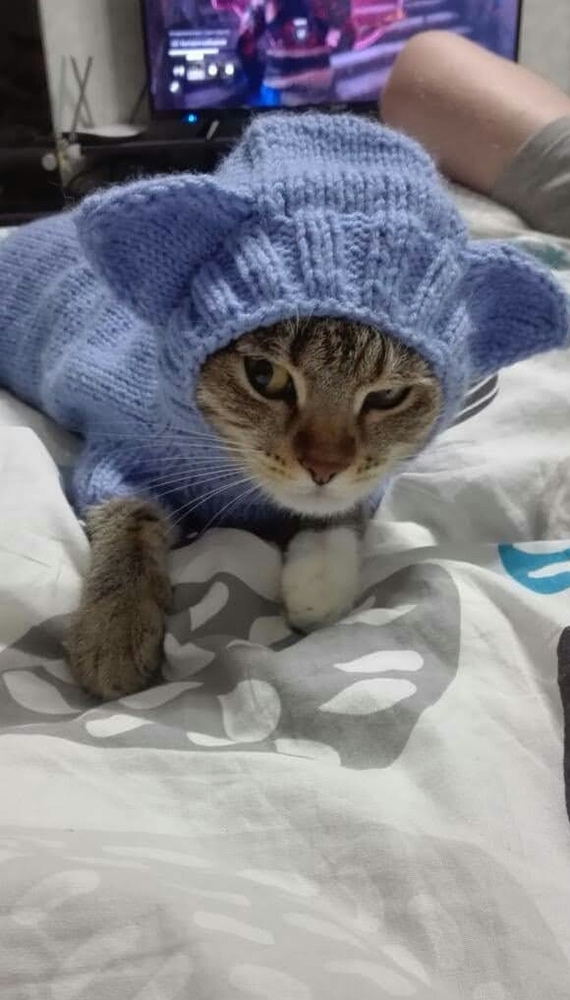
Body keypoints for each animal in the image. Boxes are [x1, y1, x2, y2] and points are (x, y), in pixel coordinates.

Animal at [65, 317, 440, 699]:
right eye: (264, 374)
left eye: (387, 395)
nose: (323, 467)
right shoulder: (118, 453)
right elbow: (129, 516)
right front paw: (115, 622)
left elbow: (342, 505)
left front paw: (320, 579)